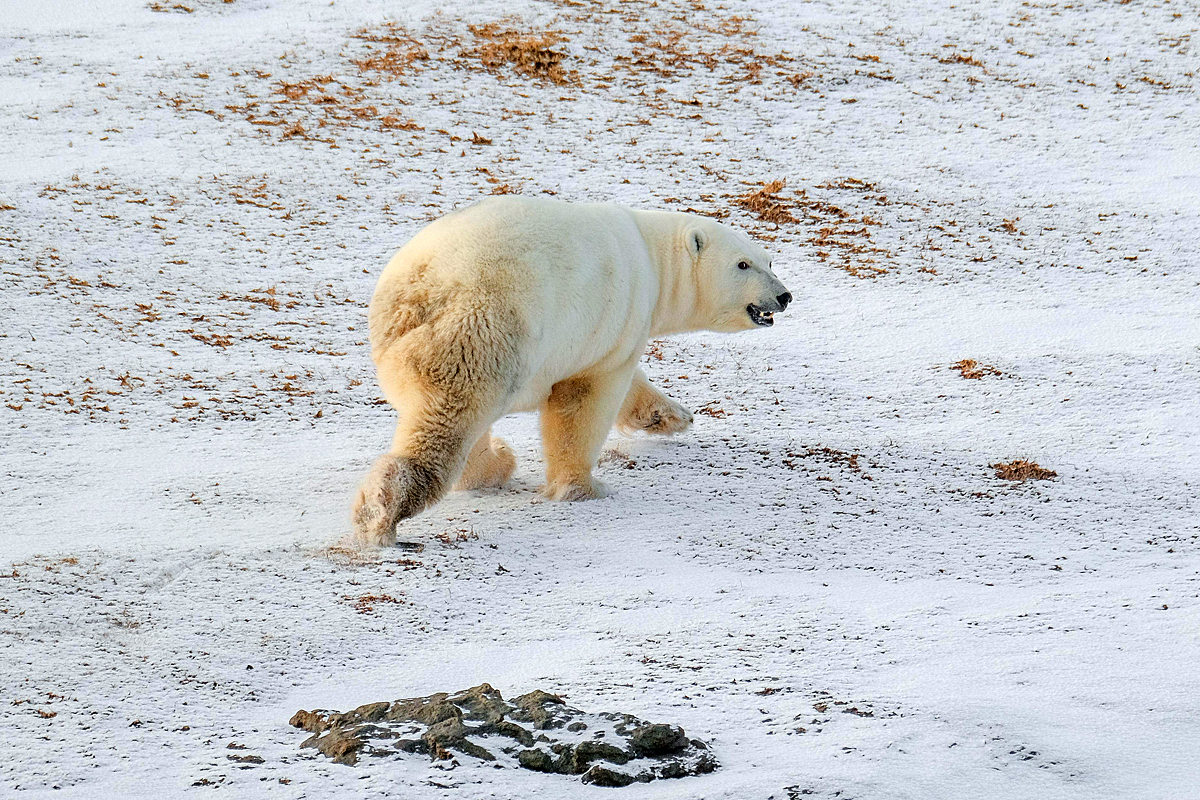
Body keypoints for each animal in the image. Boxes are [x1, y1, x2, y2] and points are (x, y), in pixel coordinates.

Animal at [350, 197, 792, 546]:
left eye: (769, 260)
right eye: (743, 264)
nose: (784, 295)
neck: (652, 257)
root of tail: (419, 293)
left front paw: (670, 416)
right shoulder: (613, 318)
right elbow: (586, 401)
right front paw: (584, 487)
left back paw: (494, 463)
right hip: (484, 332)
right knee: (449, 424)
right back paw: (382, 513)